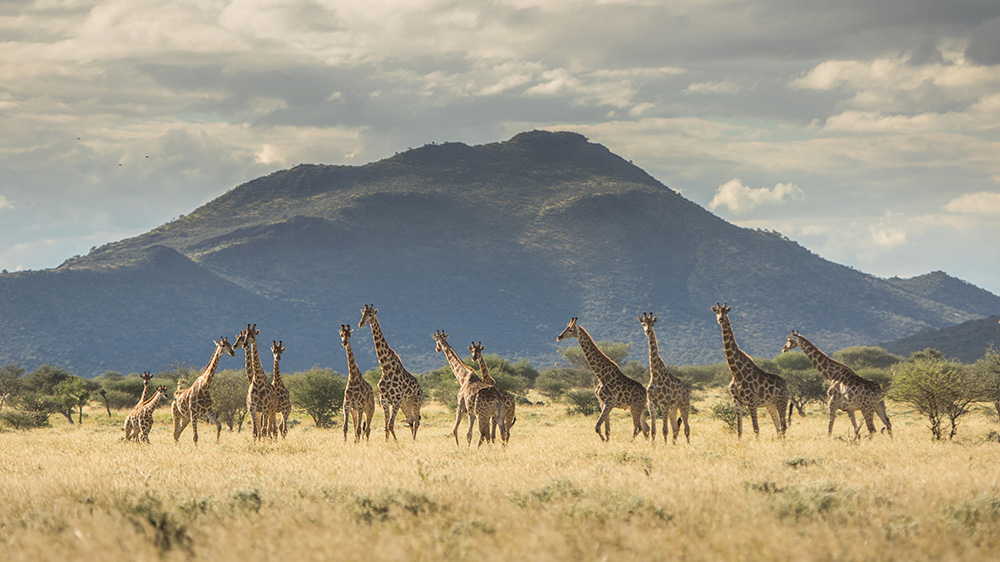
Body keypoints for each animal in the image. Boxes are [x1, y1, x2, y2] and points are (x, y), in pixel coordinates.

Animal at [358, 305, 423, 441]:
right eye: (362, 314)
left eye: (371, 315)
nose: (360, 323)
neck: (386, 368)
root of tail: (420, 389)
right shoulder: (384, 399)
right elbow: (386, 424)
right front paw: (386, 442)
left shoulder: (396, 399)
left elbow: (390, 424)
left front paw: (396, 442)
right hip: (406, 404)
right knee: (411, 420)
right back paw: (412, 440)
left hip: (416, 401)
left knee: (417, 422)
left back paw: (414, 441)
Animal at [638, 313, 691, 444]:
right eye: (643, 324)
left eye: (652, 323)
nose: (647, 331)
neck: (655, 375)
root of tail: (686, 390)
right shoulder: (651, 404)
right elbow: (653, 430)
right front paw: (652, 445)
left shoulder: (664, 404)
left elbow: (664, 430)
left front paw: (665, 445)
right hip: (674, 408)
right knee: (676, 428)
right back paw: (674, 444)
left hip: (684, 405)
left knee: (687, 428)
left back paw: (688, 444)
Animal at [712, 303, 791, 439]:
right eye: (717, 311)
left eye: (726, 312)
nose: (720, 319)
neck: (736, 372)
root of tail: (785, 384)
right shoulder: (736, 401)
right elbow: (739, 430)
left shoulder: (752, 401)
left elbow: (756, 428)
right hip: (770, 404)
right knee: (778, 427)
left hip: (782, 401)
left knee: (784, 426)